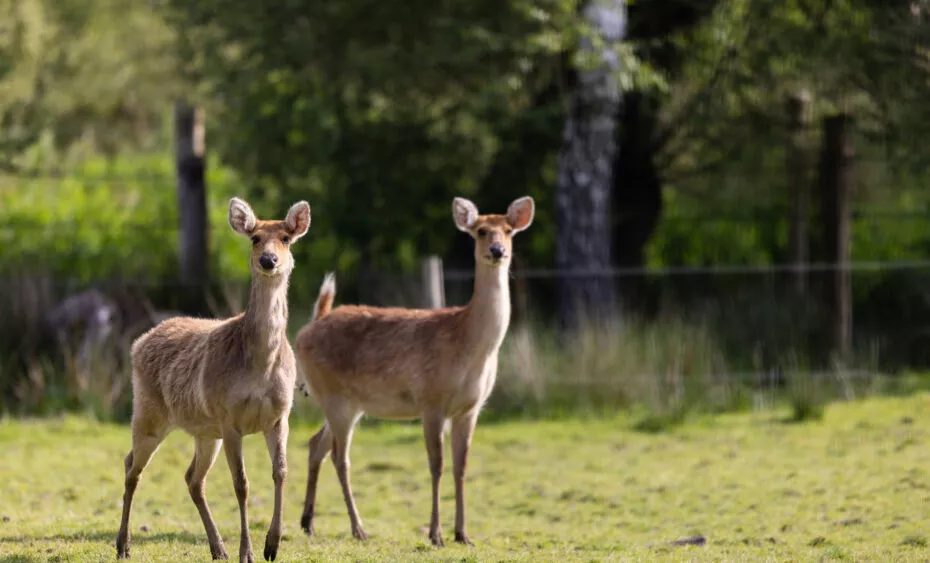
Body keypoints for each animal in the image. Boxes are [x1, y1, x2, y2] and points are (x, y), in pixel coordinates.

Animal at [115, 197, 311, 563]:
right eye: (254, 238)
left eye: (286, 238)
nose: (269, 260)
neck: (260, 366)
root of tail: (138, 342)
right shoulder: (230, 417)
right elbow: (242, 484)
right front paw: (247, 553)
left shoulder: (280, 415)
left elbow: (281, 472)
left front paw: (272, 545)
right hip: (149, 412)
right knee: (132, 466)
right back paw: (123, 545)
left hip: (206, 432)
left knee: (192, 478)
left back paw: (218, 548)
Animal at [293, 195, 534, 546]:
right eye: (480, 231)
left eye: (508, 230)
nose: (497, 250)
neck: (469, 343)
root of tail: (309, 327)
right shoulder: (431, 400)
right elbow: (437, 465)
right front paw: (436, 535)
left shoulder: (470, 408)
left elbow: (461, 466)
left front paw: (463, 534)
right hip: (335, 396)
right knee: (340, 456)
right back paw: (358, 528)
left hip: (345, 402)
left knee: (316, 445)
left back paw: (308, 523)